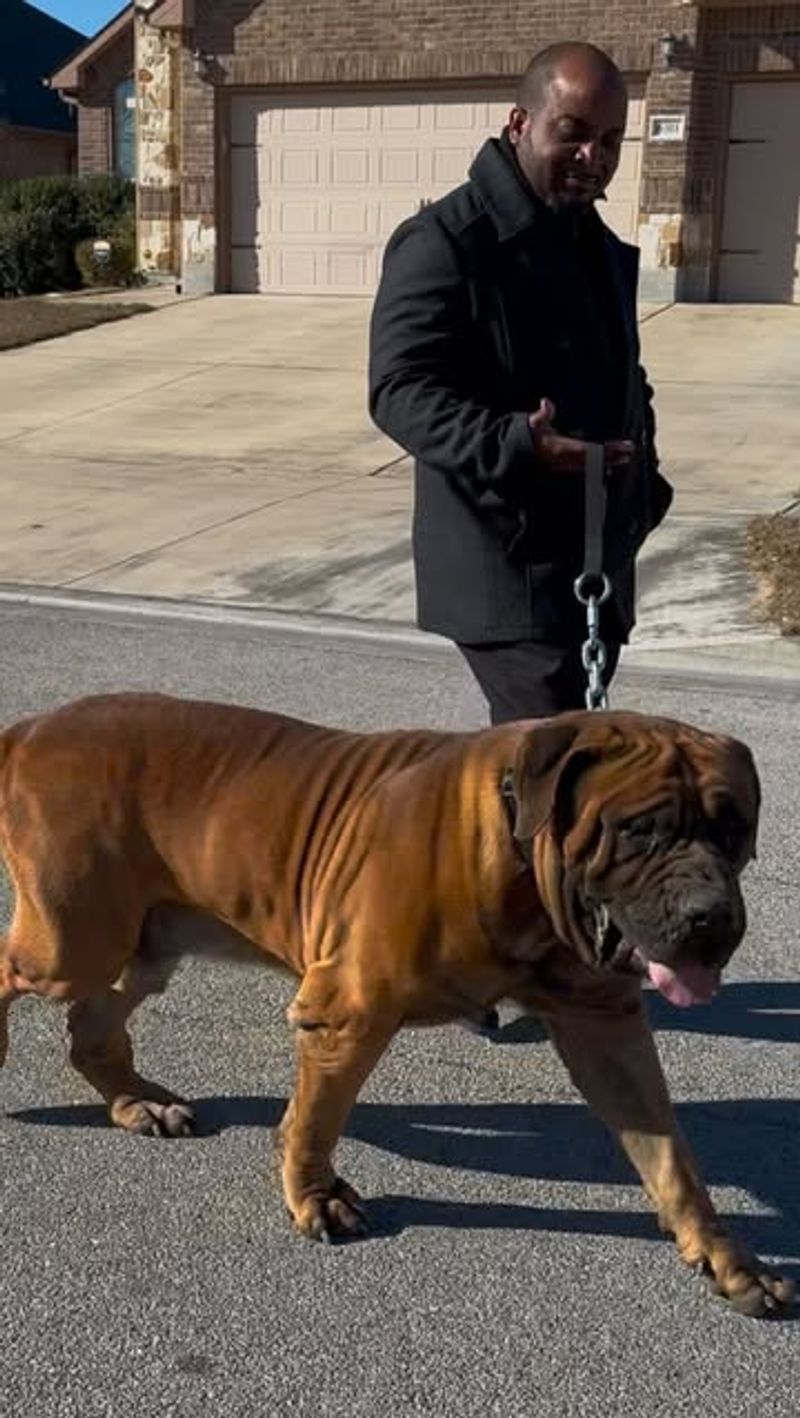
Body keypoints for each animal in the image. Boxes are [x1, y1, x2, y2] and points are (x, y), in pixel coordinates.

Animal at [0, 694, 788, 1315]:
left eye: (734, 831)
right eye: (640, 829)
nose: (712, 918)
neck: (517, 857)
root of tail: (33, 728)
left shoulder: (604, 1025)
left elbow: (671, 1156)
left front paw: (726, 1255)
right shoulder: (348, 1011)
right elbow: (317, 1119)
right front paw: (315, 1195)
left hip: (147, 941)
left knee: (93, 1027)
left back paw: (140, 1103)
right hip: (73, 943)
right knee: (20, 974)